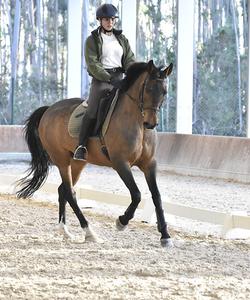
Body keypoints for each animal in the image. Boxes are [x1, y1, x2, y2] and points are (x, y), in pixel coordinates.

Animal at [16, 59, 174, 247]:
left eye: (164, 91)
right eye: (148, 89)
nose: (150, 123)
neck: (137, 123)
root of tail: (48, 109)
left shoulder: (149, 164)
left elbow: (157, 196)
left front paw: (165, 235)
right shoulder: (120, 163)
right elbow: (136, 195)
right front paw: (122, 221)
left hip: (78, 162)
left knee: (63, 190)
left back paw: (65, 231)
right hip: (61, 160)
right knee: (69, 192)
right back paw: (89, 232)